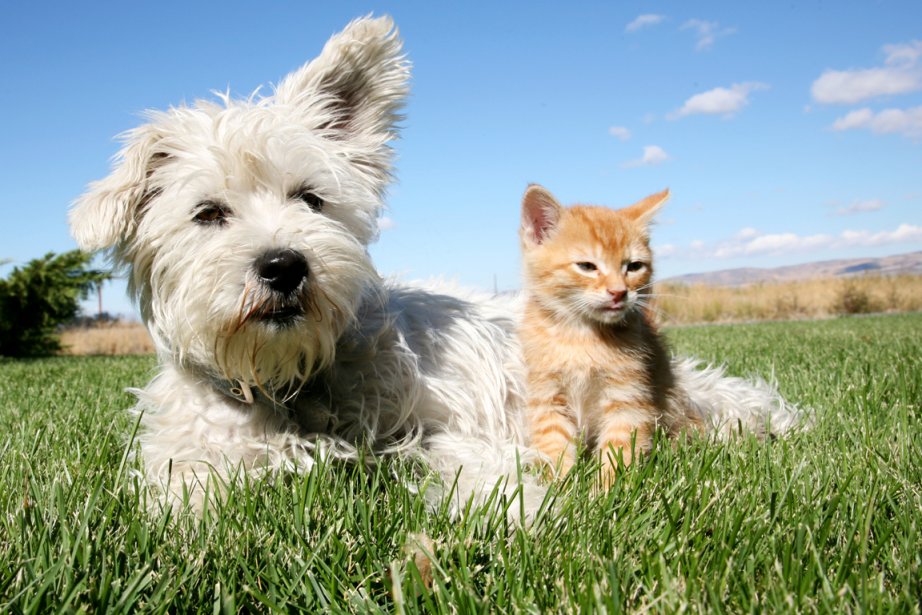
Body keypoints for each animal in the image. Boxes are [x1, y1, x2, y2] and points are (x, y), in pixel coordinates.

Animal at [516, 183, 696, 486]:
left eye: (633, 266)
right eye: (587, 266)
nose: (619, 292)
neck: (580, 336)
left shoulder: (628, 397)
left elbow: (619, 448)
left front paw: (606, 490)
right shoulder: (547, 397)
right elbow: (554, 446)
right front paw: (560, 489)